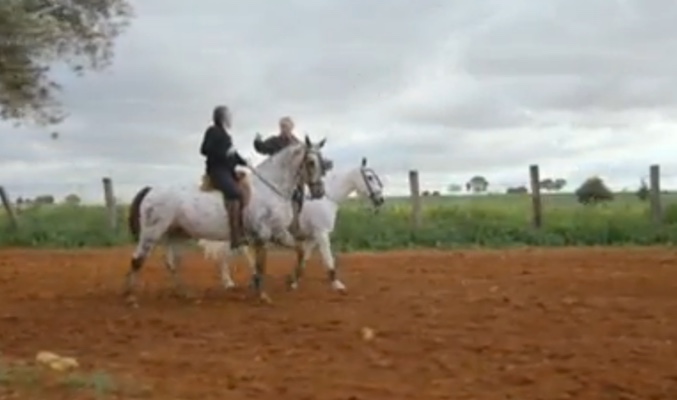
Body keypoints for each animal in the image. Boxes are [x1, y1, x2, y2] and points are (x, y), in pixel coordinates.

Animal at [127, 136, 330, 304]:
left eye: (322, 162)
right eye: (311, 162)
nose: (319, 191)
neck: (270, 188)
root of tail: (151, 190)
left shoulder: (279, 233)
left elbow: (300, 252)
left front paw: (291, 281)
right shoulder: (262, 234)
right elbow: (261, 265)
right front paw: (263, 295)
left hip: (176, 234)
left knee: (172, 263)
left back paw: (185, 294)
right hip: (151, 233)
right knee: (137, 260)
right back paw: (130, 296)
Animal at [198, 158, 382, 292]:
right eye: (370, 177)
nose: (380, 199)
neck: (326, 199)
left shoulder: (313, 238)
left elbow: (304, 258)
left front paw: (294, 281)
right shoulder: (322, 234)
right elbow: (328, 259)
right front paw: (337, 284)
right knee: (225, 256)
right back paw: (230, 282)